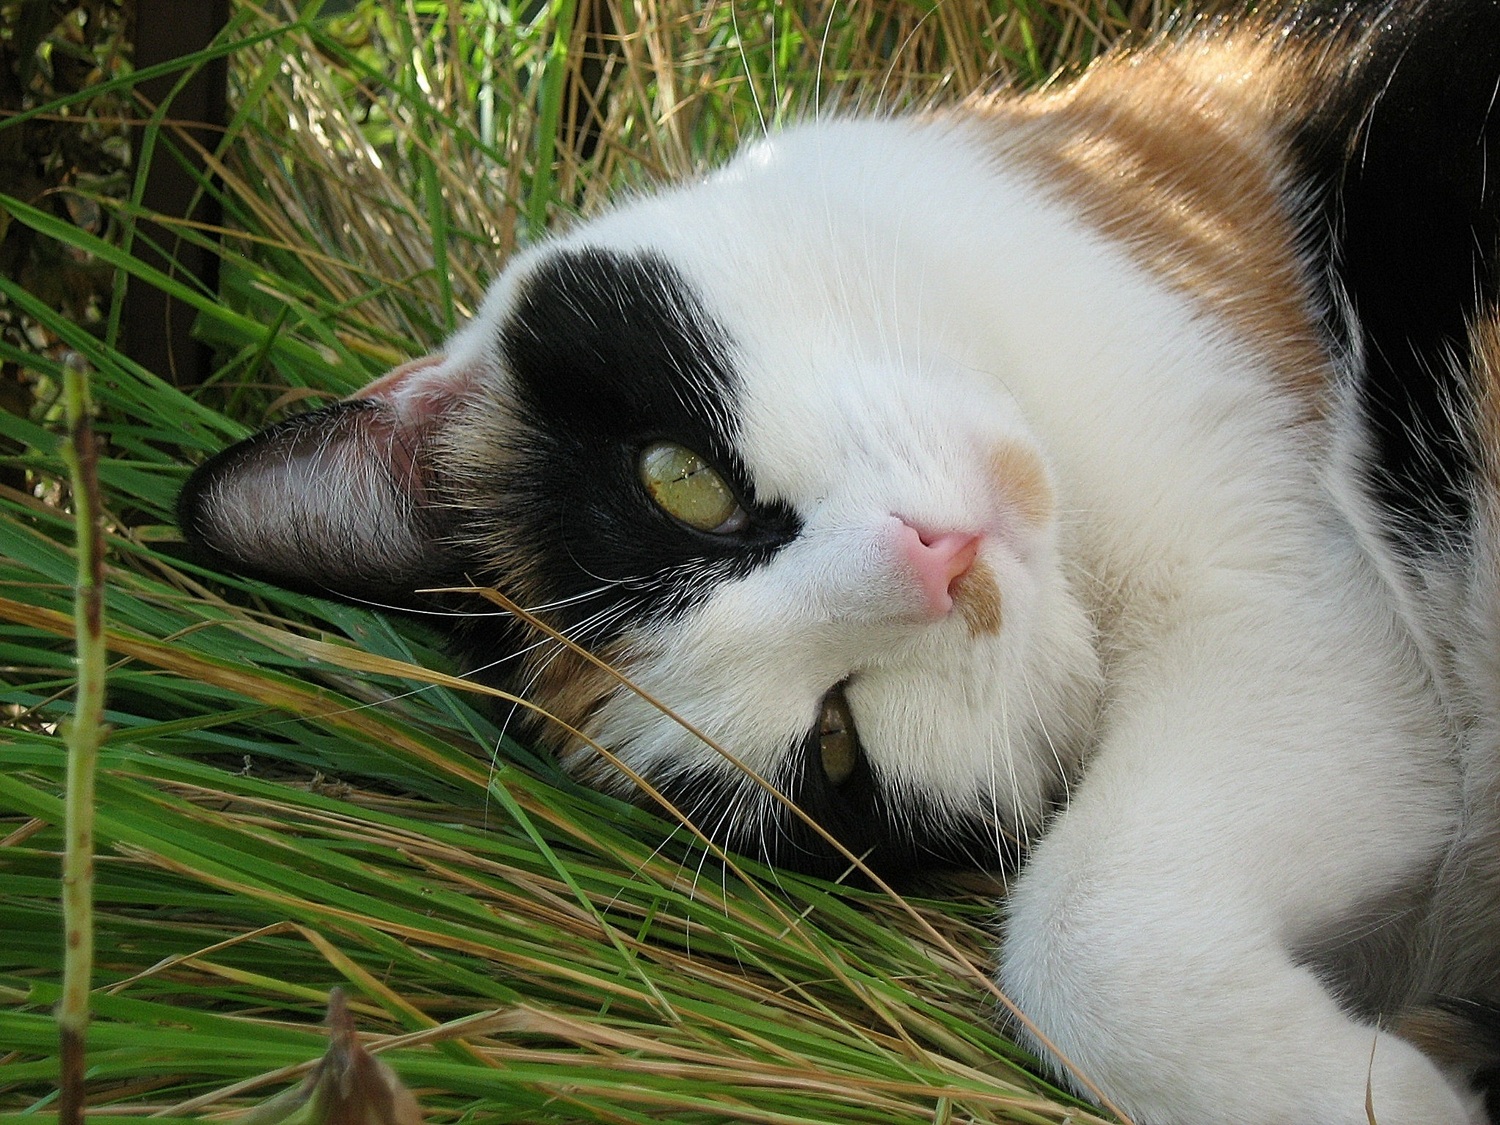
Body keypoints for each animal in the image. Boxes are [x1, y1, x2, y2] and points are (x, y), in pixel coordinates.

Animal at [178, 2, 1500, 1125]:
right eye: (834, 741)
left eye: (683, 483)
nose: (941, 565)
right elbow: (1073, 940)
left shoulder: (1283, 593)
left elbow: (1079, 929)